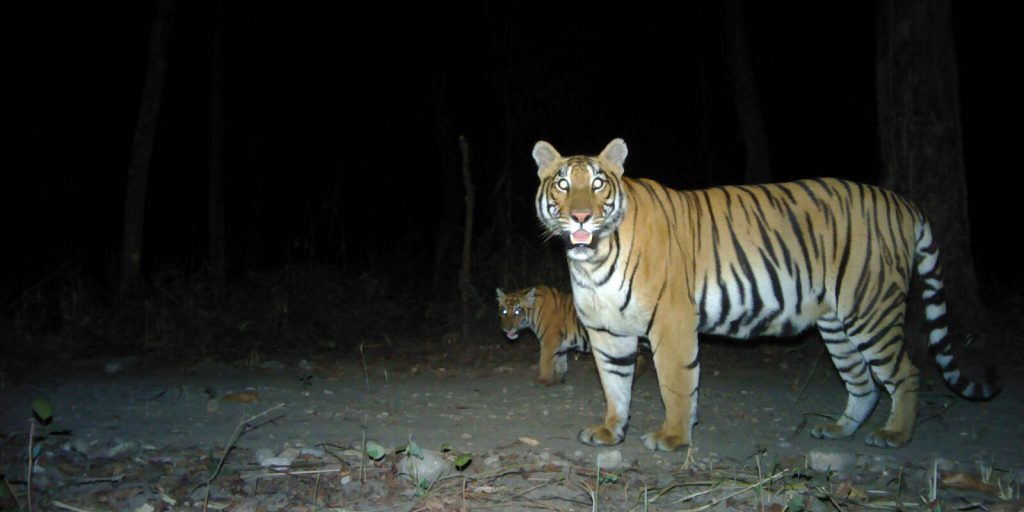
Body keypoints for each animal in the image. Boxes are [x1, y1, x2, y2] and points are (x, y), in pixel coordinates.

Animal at [532, 138, 997, 450]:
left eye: (597, 184)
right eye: (562, 185)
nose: (580, 216)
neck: (591, 260)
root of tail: (904, 203)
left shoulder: (672, 322)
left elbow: (676, 384)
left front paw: (674, 437)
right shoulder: (607, 331)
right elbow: (615, 385)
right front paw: (610, 431)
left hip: (872, 309)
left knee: (906, 374)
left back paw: (895, 434)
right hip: (837, 326)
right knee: (863, 383)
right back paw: (838, 430)